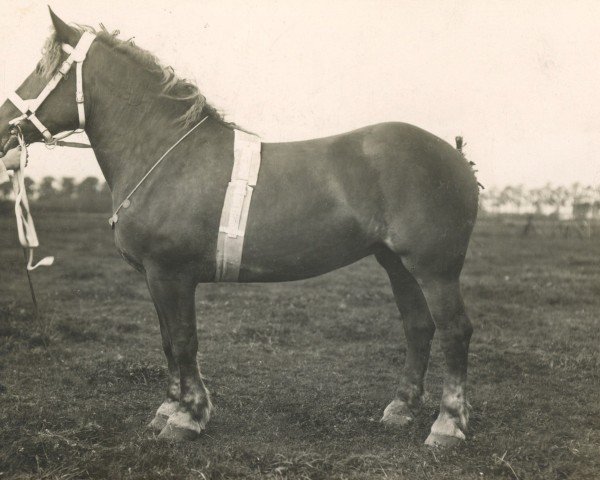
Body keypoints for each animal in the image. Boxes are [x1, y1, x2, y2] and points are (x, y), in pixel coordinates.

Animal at [0, 9, 478, 448]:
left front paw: (188, 417)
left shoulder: (171, 275)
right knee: (418, 327)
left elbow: (184, 341)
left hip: (435, 269)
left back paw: (447, 426)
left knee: (455, 331)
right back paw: (401, 408)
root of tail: (454, 155)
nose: (4, 127)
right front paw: (167, 409)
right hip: (396, 263)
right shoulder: (155, 279)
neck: (168, 155)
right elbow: (167, 342)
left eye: (42, 69)